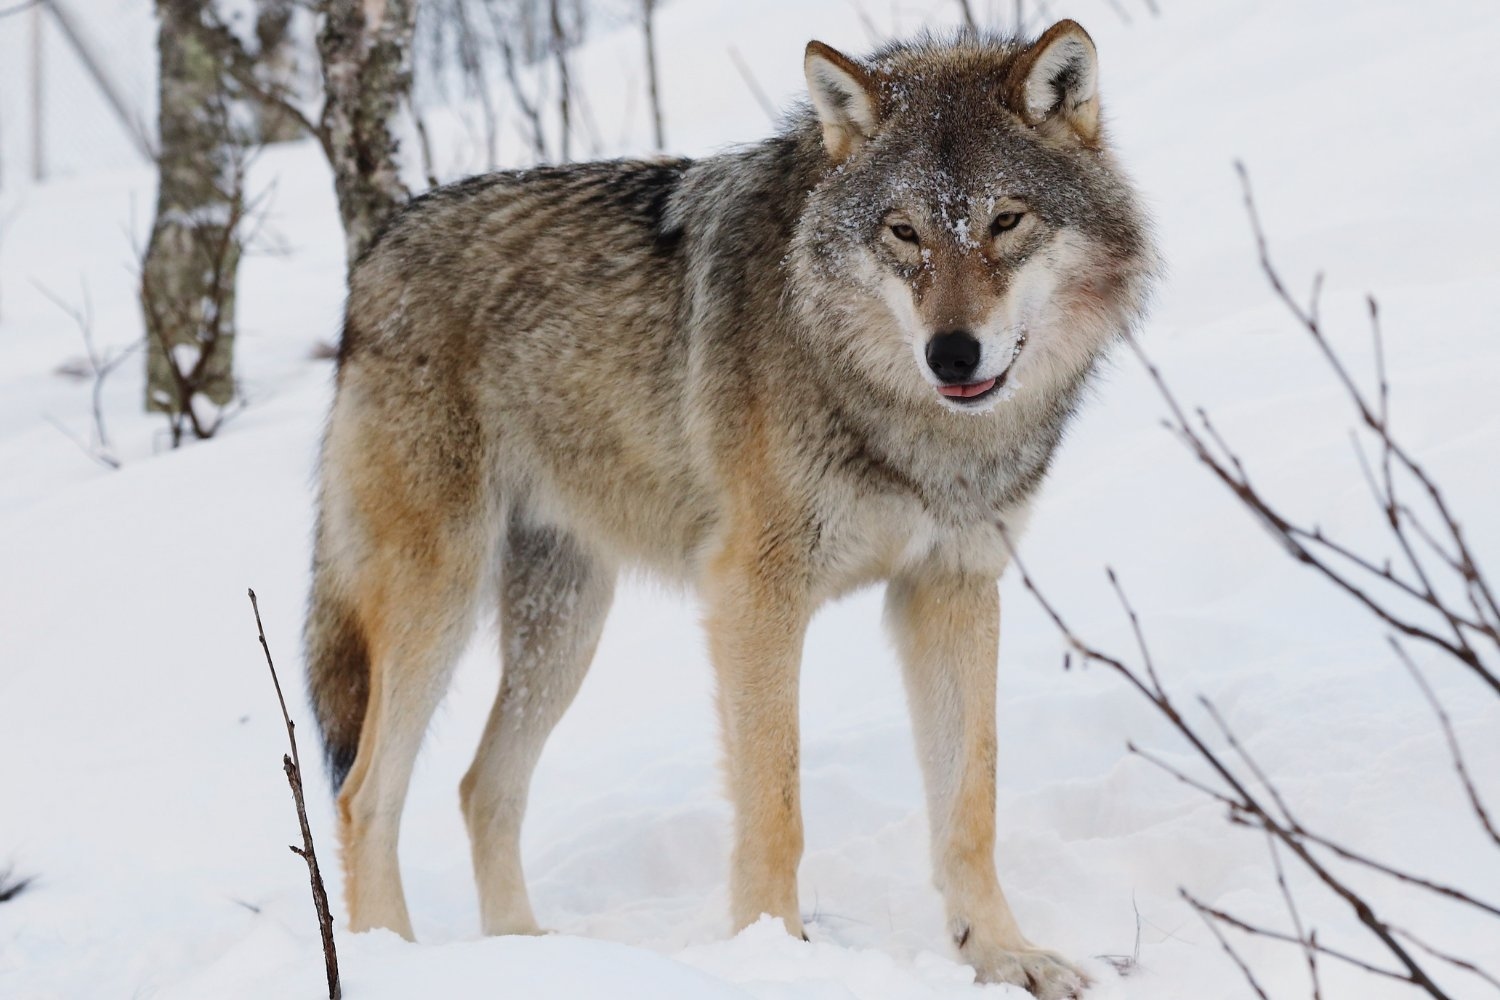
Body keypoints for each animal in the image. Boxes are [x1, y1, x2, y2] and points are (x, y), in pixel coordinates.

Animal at [307, 19, 1158, 995]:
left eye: (1006, 221)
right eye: (904, 232)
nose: (951, 353)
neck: (907, 423)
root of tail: (377, 249)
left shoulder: (951, 588)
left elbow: (970, 804)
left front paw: (1005, 954)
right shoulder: (755, 595)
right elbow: (775, 806)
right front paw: (773, 955)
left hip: (565, 625)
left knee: (483, 786)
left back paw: (534, 956)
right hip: (437, 604)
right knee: (365, 794)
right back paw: (390, 961)